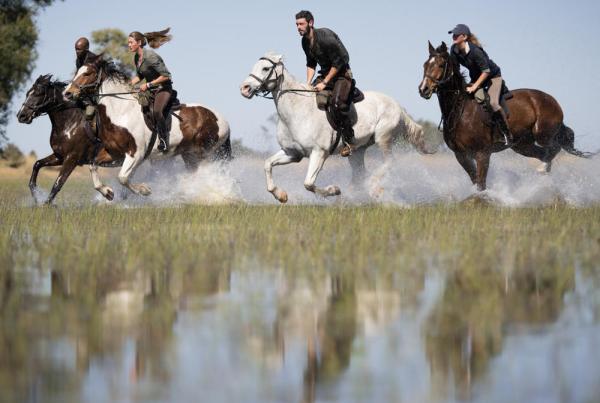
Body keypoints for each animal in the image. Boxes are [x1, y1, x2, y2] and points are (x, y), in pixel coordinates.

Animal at [62, 53, 232, 199]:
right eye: (78, 71)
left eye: (87, 73)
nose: (67, 93)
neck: (121, 112)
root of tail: (223, 120)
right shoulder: (114, 153)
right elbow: (93, 165)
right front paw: (107, 192)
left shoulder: (136, 154)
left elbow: (123, 178)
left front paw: (144, 190)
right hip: (189, 155)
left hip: (204, 153)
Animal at [240, 52, 432, 205]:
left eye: (265, 68)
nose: (244, 88)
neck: (297, 110)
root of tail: (398, 106)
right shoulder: (292, 153)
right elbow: (267, 164)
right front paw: (280, 195)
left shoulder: (319, 152)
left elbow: (308, 183)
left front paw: (334, 190)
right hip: (357, 151)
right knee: (360, 174)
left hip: (383, 139)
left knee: (389, 162)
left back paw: (374, 188)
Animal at [418, 41, 592, 193]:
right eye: (425, 65)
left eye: (440, 65)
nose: (423, 89)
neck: (460, 109)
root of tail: (552, 100)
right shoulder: (461, 155)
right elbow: (475, 180)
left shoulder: (482, 153)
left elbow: (481, 183)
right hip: (522, 145)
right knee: (544, 153)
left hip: (542, 134)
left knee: (554, 148)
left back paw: (542, 169)